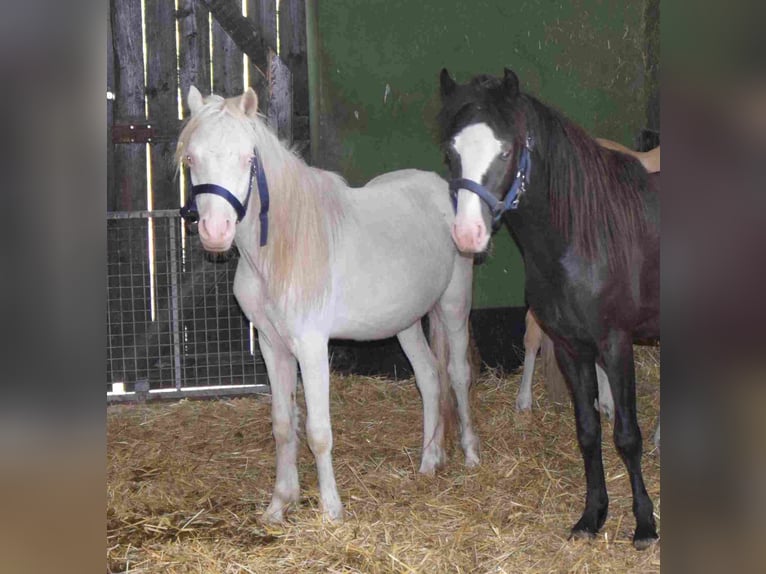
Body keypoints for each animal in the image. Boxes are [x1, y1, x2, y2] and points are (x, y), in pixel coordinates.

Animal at [176, 86, 479, 524]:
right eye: (191, 158)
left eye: (248, 158)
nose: (216, 233)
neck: (280, 251)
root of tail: (442, 189)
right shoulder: (272, 345)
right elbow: (283, 425)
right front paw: (279, 505)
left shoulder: (311, 347)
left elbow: (318, 432)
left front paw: (331, 510)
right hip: (406, 322)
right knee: (428, 378)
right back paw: (428, 461)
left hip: (454, 307)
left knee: (456, 374)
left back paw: (470, 454)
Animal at [438, 68, 660, 549]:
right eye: (450, 152)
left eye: (506, 149)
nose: (467, 235)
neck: (585, 233)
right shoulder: (571, 347)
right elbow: (588, 431)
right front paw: (592, 517)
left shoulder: (616, 344)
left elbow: (626, 436)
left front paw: (645, 525)